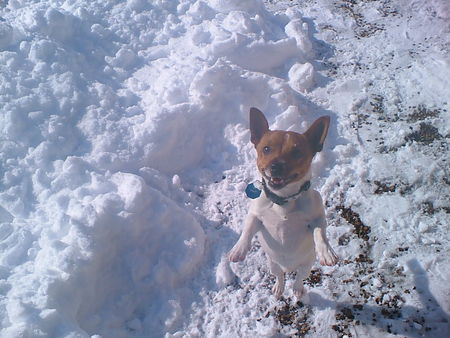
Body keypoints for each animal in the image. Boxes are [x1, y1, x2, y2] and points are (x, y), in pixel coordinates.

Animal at [229, 107, 338, 298]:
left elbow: (320, 233)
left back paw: (297, 289)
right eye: (266, 148)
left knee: (299, 277)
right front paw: (239, 249)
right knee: (280, 276)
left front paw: (326, 252)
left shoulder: (317, 218)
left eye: (297, 152)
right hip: (273, 265)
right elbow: (247, 230)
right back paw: (279, 287)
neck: (283, 200)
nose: (276, 166)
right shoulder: (256, 215)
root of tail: (289, 267)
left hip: (306, 265)